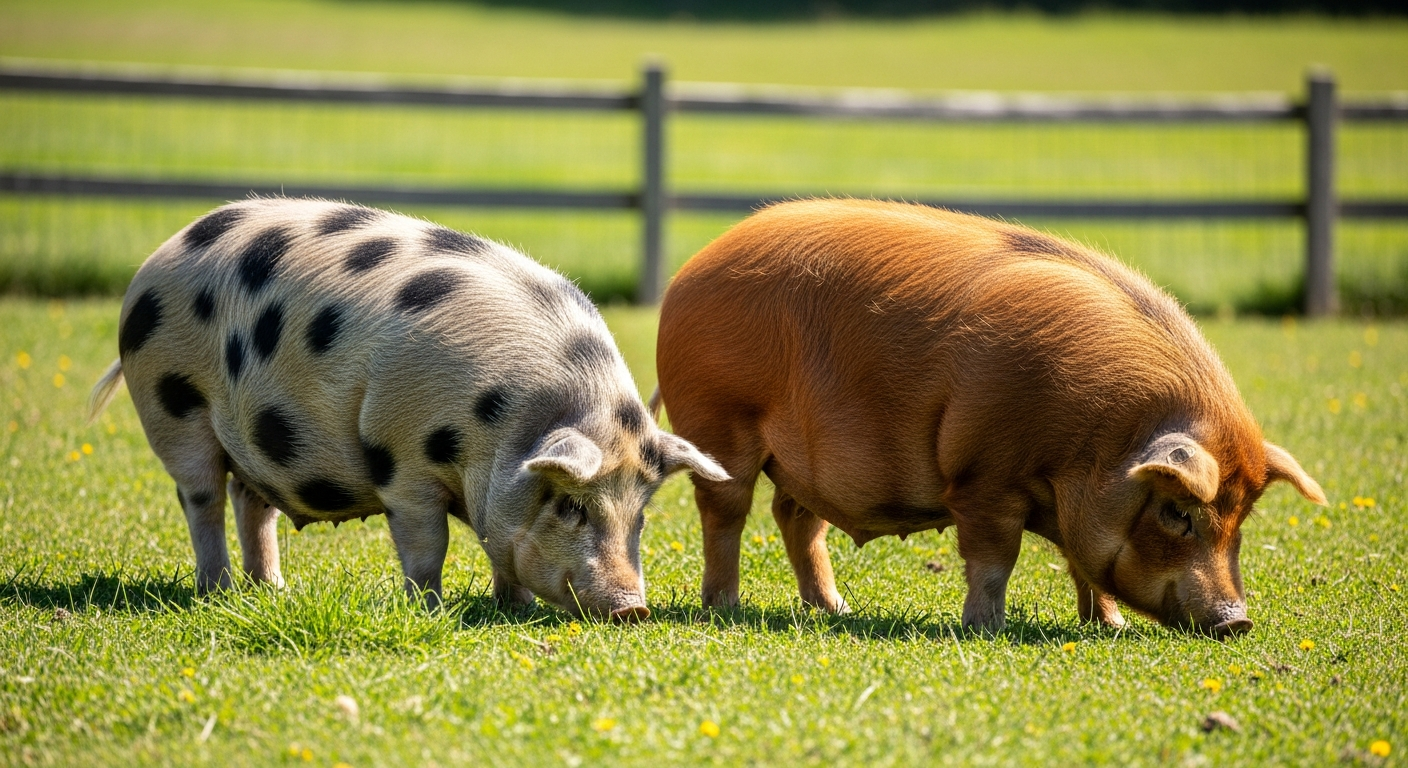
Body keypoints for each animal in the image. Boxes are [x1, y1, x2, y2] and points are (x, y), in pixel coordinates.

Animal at [89, 197, 727, 618]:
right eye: (571, 505)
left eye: (640, 514)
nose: (632, 608)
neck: (499, 427)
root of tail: (160, 254)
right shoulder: (401, 457)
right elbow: (428, 543)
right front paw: (431, 607)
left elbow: (500, 549)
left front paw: (515, 608)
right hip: (172, 402)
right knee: (202, 498)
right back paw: (217, 592)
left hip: (252, 435)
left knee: (254, 503)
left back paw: (272, 590)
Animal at [654, 198, 1325, 637]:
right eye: (1177, 512)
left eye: (1240, 518)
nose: (1237, 621)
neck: (1096, 443)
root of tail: (686, 275)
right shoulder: (984, 476)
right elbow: (995, 558)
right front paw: (985, 627)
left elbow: (1084, 566)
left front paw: (1107, 627)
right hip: (719, 422)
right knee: (725, 512)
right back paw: (725, 608)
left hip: (798, 461)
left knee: (795, 518)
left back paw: (834, 609)